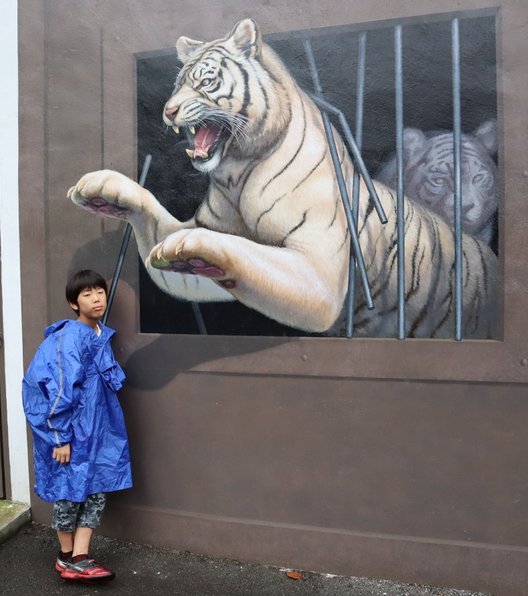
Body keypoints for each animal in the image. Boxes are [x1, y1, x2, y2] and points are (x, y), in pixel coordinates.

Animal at [68, 16, 498, 338]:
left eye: (205, 81)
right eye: (177, 85)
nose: (168, 111)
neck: (237, 171)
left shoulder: (318, 272)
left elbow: (244, 248)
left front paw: (191, 245)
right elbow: (158, 222)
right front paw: (101, 189)